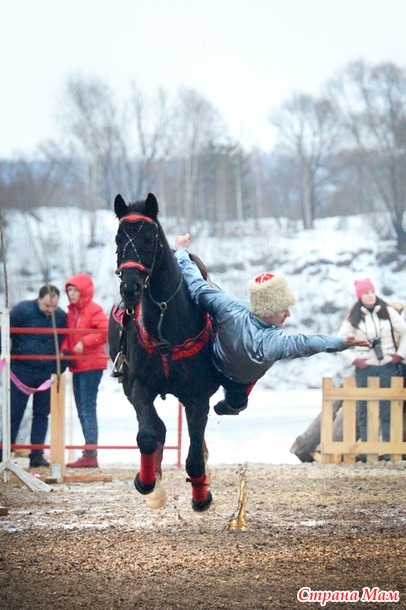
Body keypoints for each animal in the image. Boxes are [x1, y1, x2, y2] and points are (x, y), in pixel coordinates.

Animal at [108, 191, 219, 508]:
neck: (165, 316)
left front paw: (201, 496)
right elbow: (148, 435)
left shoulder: (197, 395)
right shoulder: (137, 384)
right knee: (157, 429)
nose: (130, 287)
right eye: (119, 238)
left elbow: (194, 457)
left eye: (149, 238)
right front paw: (147, 482)